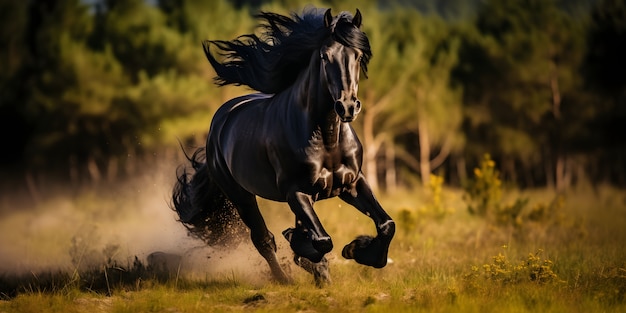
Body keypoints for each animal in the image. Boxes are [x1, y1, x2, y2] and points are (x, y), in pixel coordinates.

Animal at [171, 7, 394, 286]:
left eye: (359, 55)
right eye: (325, 56)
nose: (347, 107)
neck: (327, 138)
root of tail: (220, 121)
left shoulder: (352, 184)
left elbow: (386, 224)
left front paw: (356, 251)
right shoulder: (294, 191)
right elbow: (322, 240)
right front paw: (307, 250)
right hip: (241, 195)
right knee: (263, 239)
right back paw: (285, 277)